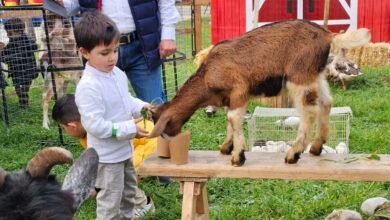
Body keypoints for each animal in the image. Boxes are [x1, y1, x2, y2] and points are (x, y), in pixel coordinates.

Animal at [149, 20, 368, 167]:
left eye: (164, 125)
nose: (166, 144)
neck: (207, 75)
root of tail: (327, 35)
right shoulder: (231, 98)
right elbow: (230, 121)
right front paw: (226, 147)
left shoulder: (239, 91)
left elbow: (233, 119)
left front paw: (238, 156)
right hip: (315, 75)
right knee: (326, 102)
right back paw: (316, 147)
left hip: (299, 77)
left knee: (309, 112)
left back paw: (294, 154)